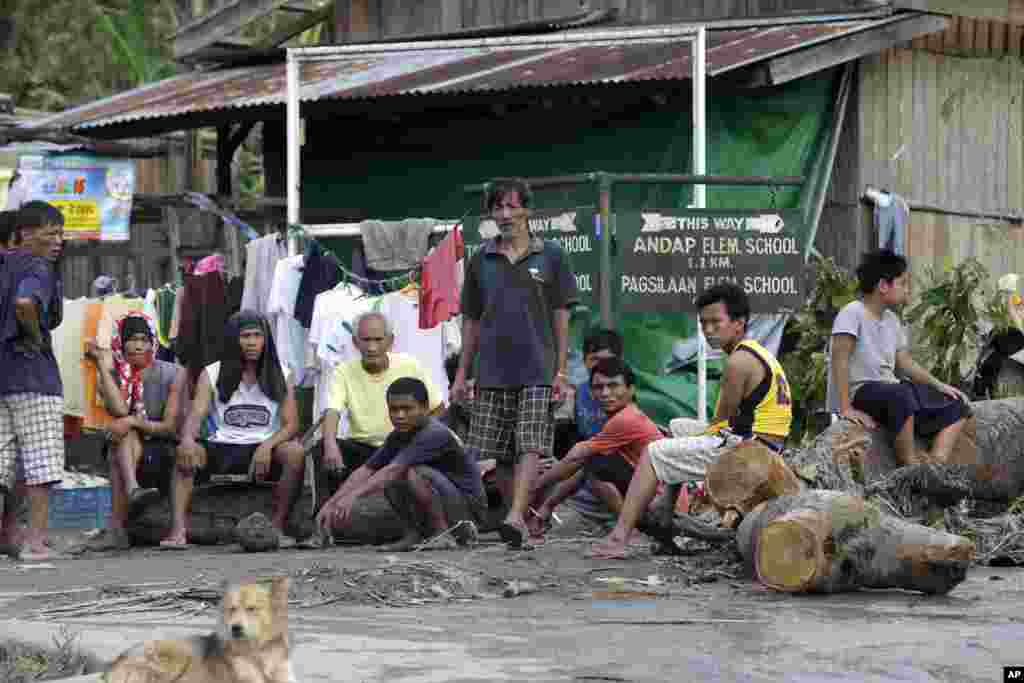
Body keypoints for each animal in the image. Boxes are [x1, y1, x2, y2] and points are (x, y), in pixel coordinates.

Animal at [105, 577, 294, 683]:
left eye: (251, 609)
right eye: (232, 609)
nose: (235, 628)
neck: (257, 653)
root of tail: (118, 660)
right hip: (177, 657)